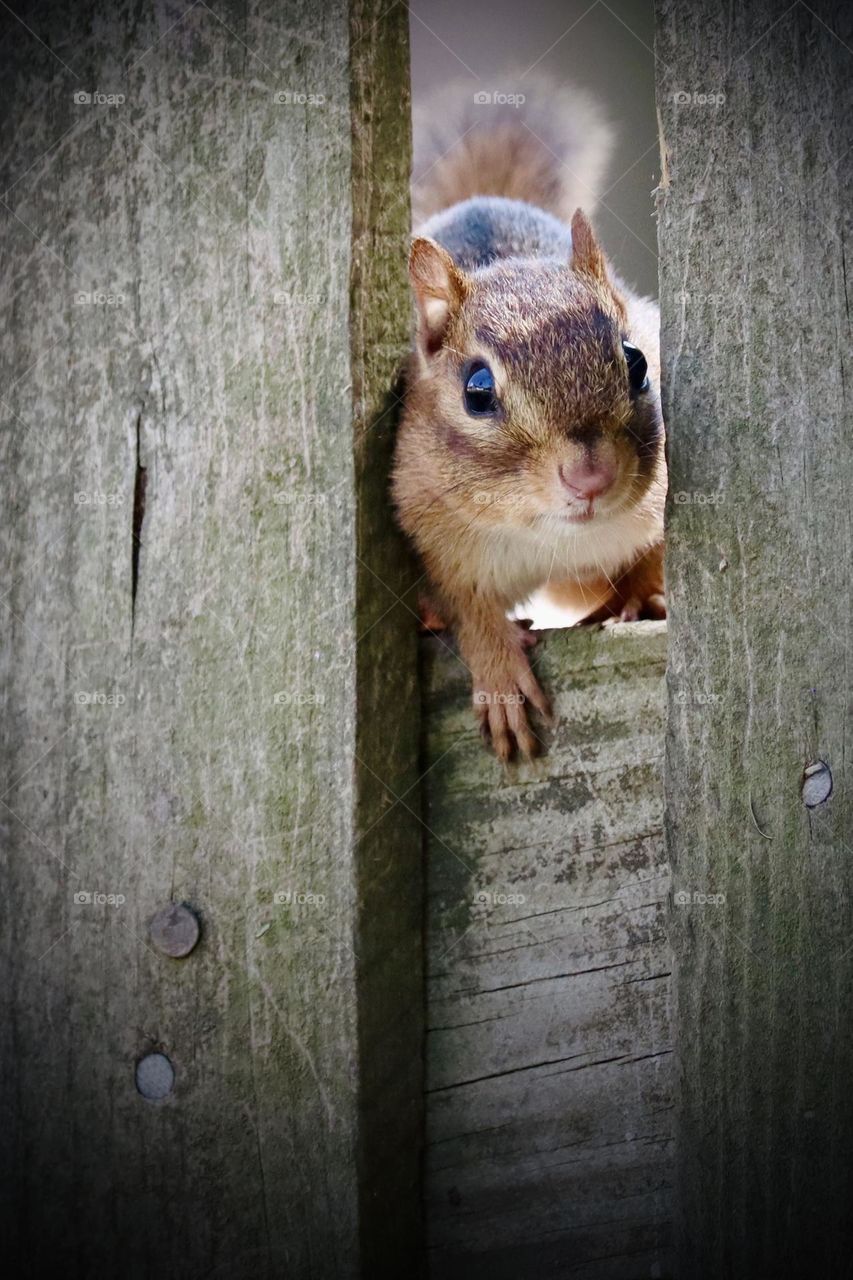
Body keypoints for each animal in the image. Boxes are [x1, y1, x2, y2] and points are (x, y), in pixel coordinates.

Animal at [393, 80, 666, 761]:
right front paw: (498, 673)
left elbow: (653, 552)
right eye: (477, 391)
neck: (543, 535)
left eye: (637, 361)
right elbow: (468, 607)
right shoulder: (426, 524)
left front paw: (642, 593)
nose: (590, 478)